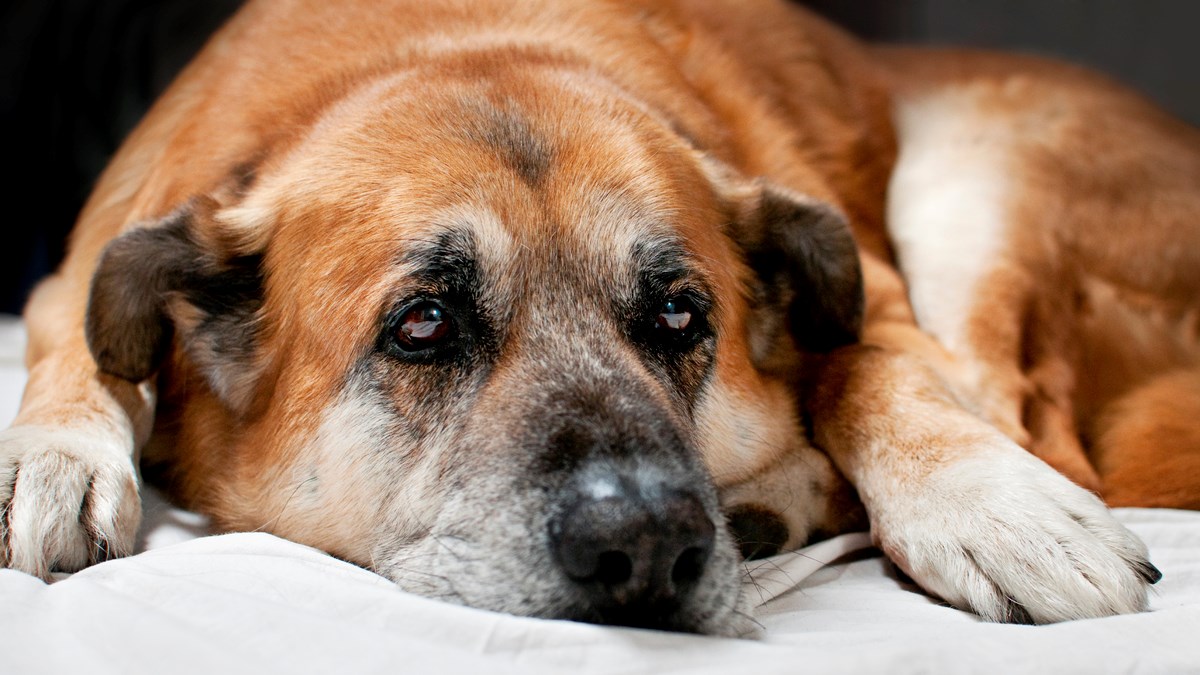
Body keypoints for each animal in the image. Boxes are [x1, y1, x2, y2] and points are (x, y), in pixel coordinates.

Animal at [4, 0, 1195, 634]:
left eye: (677, 313)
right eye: (422, 325)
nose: (649, 547)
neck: (443, 40)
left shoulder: (880, 294)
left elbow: (876, 368)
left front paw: (994, 502)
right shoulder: (76, 274)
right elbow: (73, 351)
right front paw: (50, 458)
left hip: (976, 191)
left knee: (1032, 419)